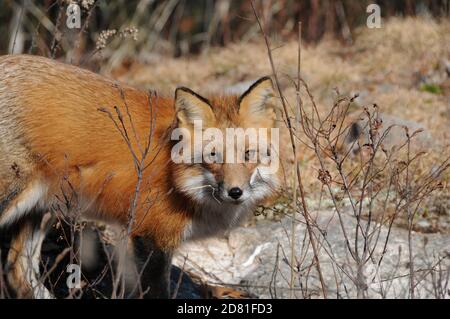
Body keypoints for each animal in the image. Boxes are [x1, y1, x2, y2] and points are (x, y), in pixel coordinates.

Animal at [0, 55, 282, 300]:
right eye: (213, 156)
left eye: (248, 154)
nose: (235, 192)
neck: (179, 179)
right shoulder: (151, 236)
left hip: (42, 207)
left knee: (16, 270)